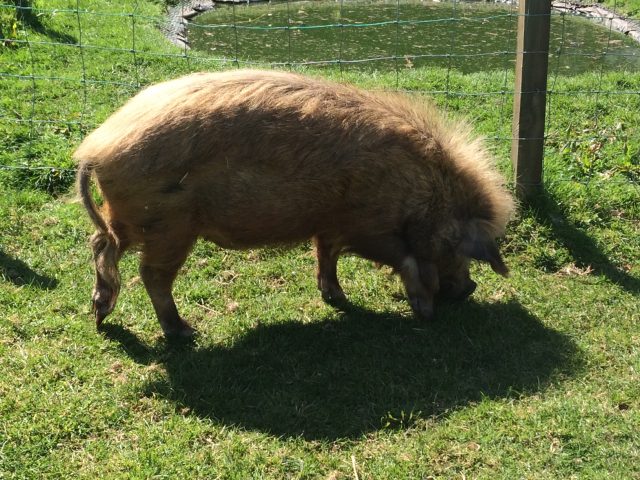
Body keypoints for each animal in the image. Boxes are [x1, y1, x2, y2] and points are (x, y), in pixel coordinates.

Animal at [75, 69, 515, 337]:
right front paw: (424, 311)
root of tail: (95, 147)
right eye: (459, 245)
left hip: (130, 220)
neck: (422, 193)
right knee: (150, 274)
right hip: (168, 226)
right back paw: (185, 332)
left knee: (101, 246)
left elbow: (326, 255)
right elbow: (401, 259)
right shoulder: (370, 225)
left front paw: (337, 299)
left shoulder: (331, 223)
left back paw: (100, 314)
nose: (470, 287)